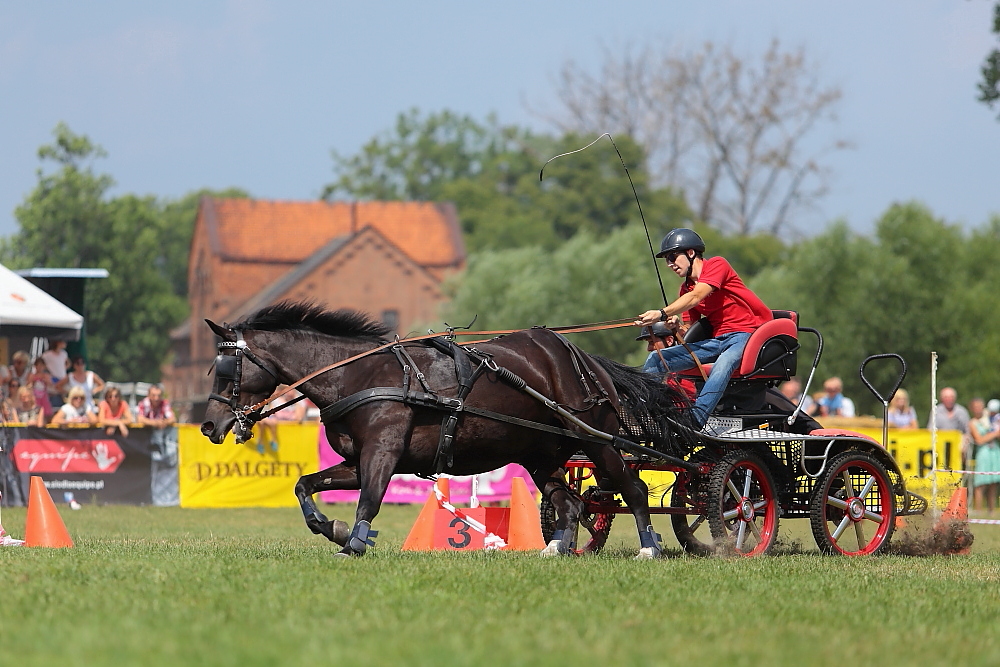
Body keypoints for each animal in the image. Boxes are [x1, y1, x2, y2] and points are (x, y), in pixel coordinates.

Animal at [199, 302, 692, 560]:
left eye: (225, 369)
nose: (209, 426)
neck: (357, 374)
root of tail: (582, 359)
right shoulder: (356, 460)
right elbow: (305, 485)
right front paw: (330, 527)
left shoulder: (382, 452)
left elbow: (369, 500)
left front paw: (353, 543)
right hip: (541, 454)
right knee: (569, 503)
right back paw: (556, 549)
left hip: (597, 440)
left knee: (633, 488)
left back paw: (650, 547)